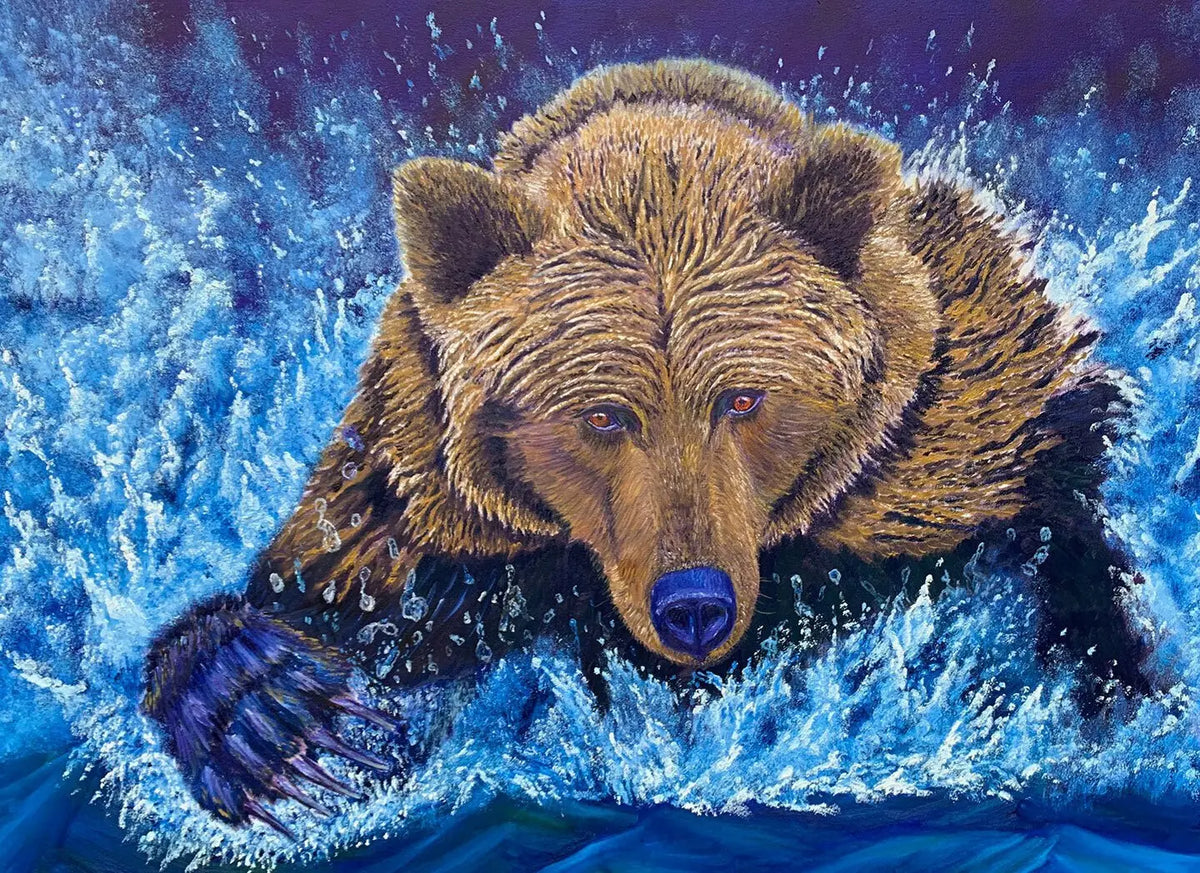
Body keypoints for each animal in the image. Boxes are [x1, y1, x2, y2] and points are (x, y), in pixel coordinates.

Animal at [142, 58, 1153, 836]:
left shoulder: (959, 423)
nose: (694, 603)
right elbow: (320, 593)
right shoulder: (414, 508)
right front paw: (261, 707)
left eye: (744, 397)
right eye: (602, 415)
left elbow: (1056, 525)